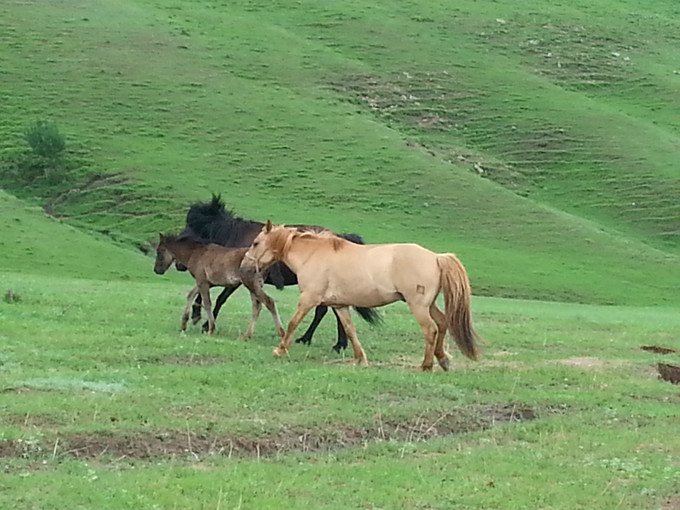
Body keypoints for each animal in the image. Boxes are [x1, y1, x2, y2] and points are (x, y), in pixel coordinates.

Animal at [154, 234, 284, 338]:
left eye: (159, 252)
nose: (156, 270)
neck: (195, 253)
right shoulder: (204, 282)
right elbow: (190, 295)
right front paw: (183, 324)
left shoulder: (202, 281)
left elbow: (207, 303)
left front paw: (210, 329)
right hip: (254, 286)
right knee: (257, 307)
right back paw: (246, 335)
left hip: (251, 284)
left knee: (269, 302)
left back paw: (281, 333)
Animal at [181, 193, 382, 352]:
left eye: (192, 226)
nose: (180, 265)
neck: (237, 235)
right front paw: (197, 315)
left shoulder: (238, 279)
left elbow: (219, 298)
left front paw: (203, 321)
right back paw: (319, 340)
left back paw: (329, 343)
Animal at [244, 220, 484, 370]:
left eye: (255, 243)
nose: (244, 266)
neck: (313, 255)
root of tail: (436, 257)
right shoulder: (340, 305)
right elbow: (350, 331)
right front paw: (360, 359)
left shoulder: (308, 299)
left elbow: (293, 323)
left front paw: (280, 350)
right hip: (429, 304)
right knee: (442, 323)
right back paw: (443, 359)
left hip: (418, 306)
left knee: (431, 330)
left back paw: (426, 366)